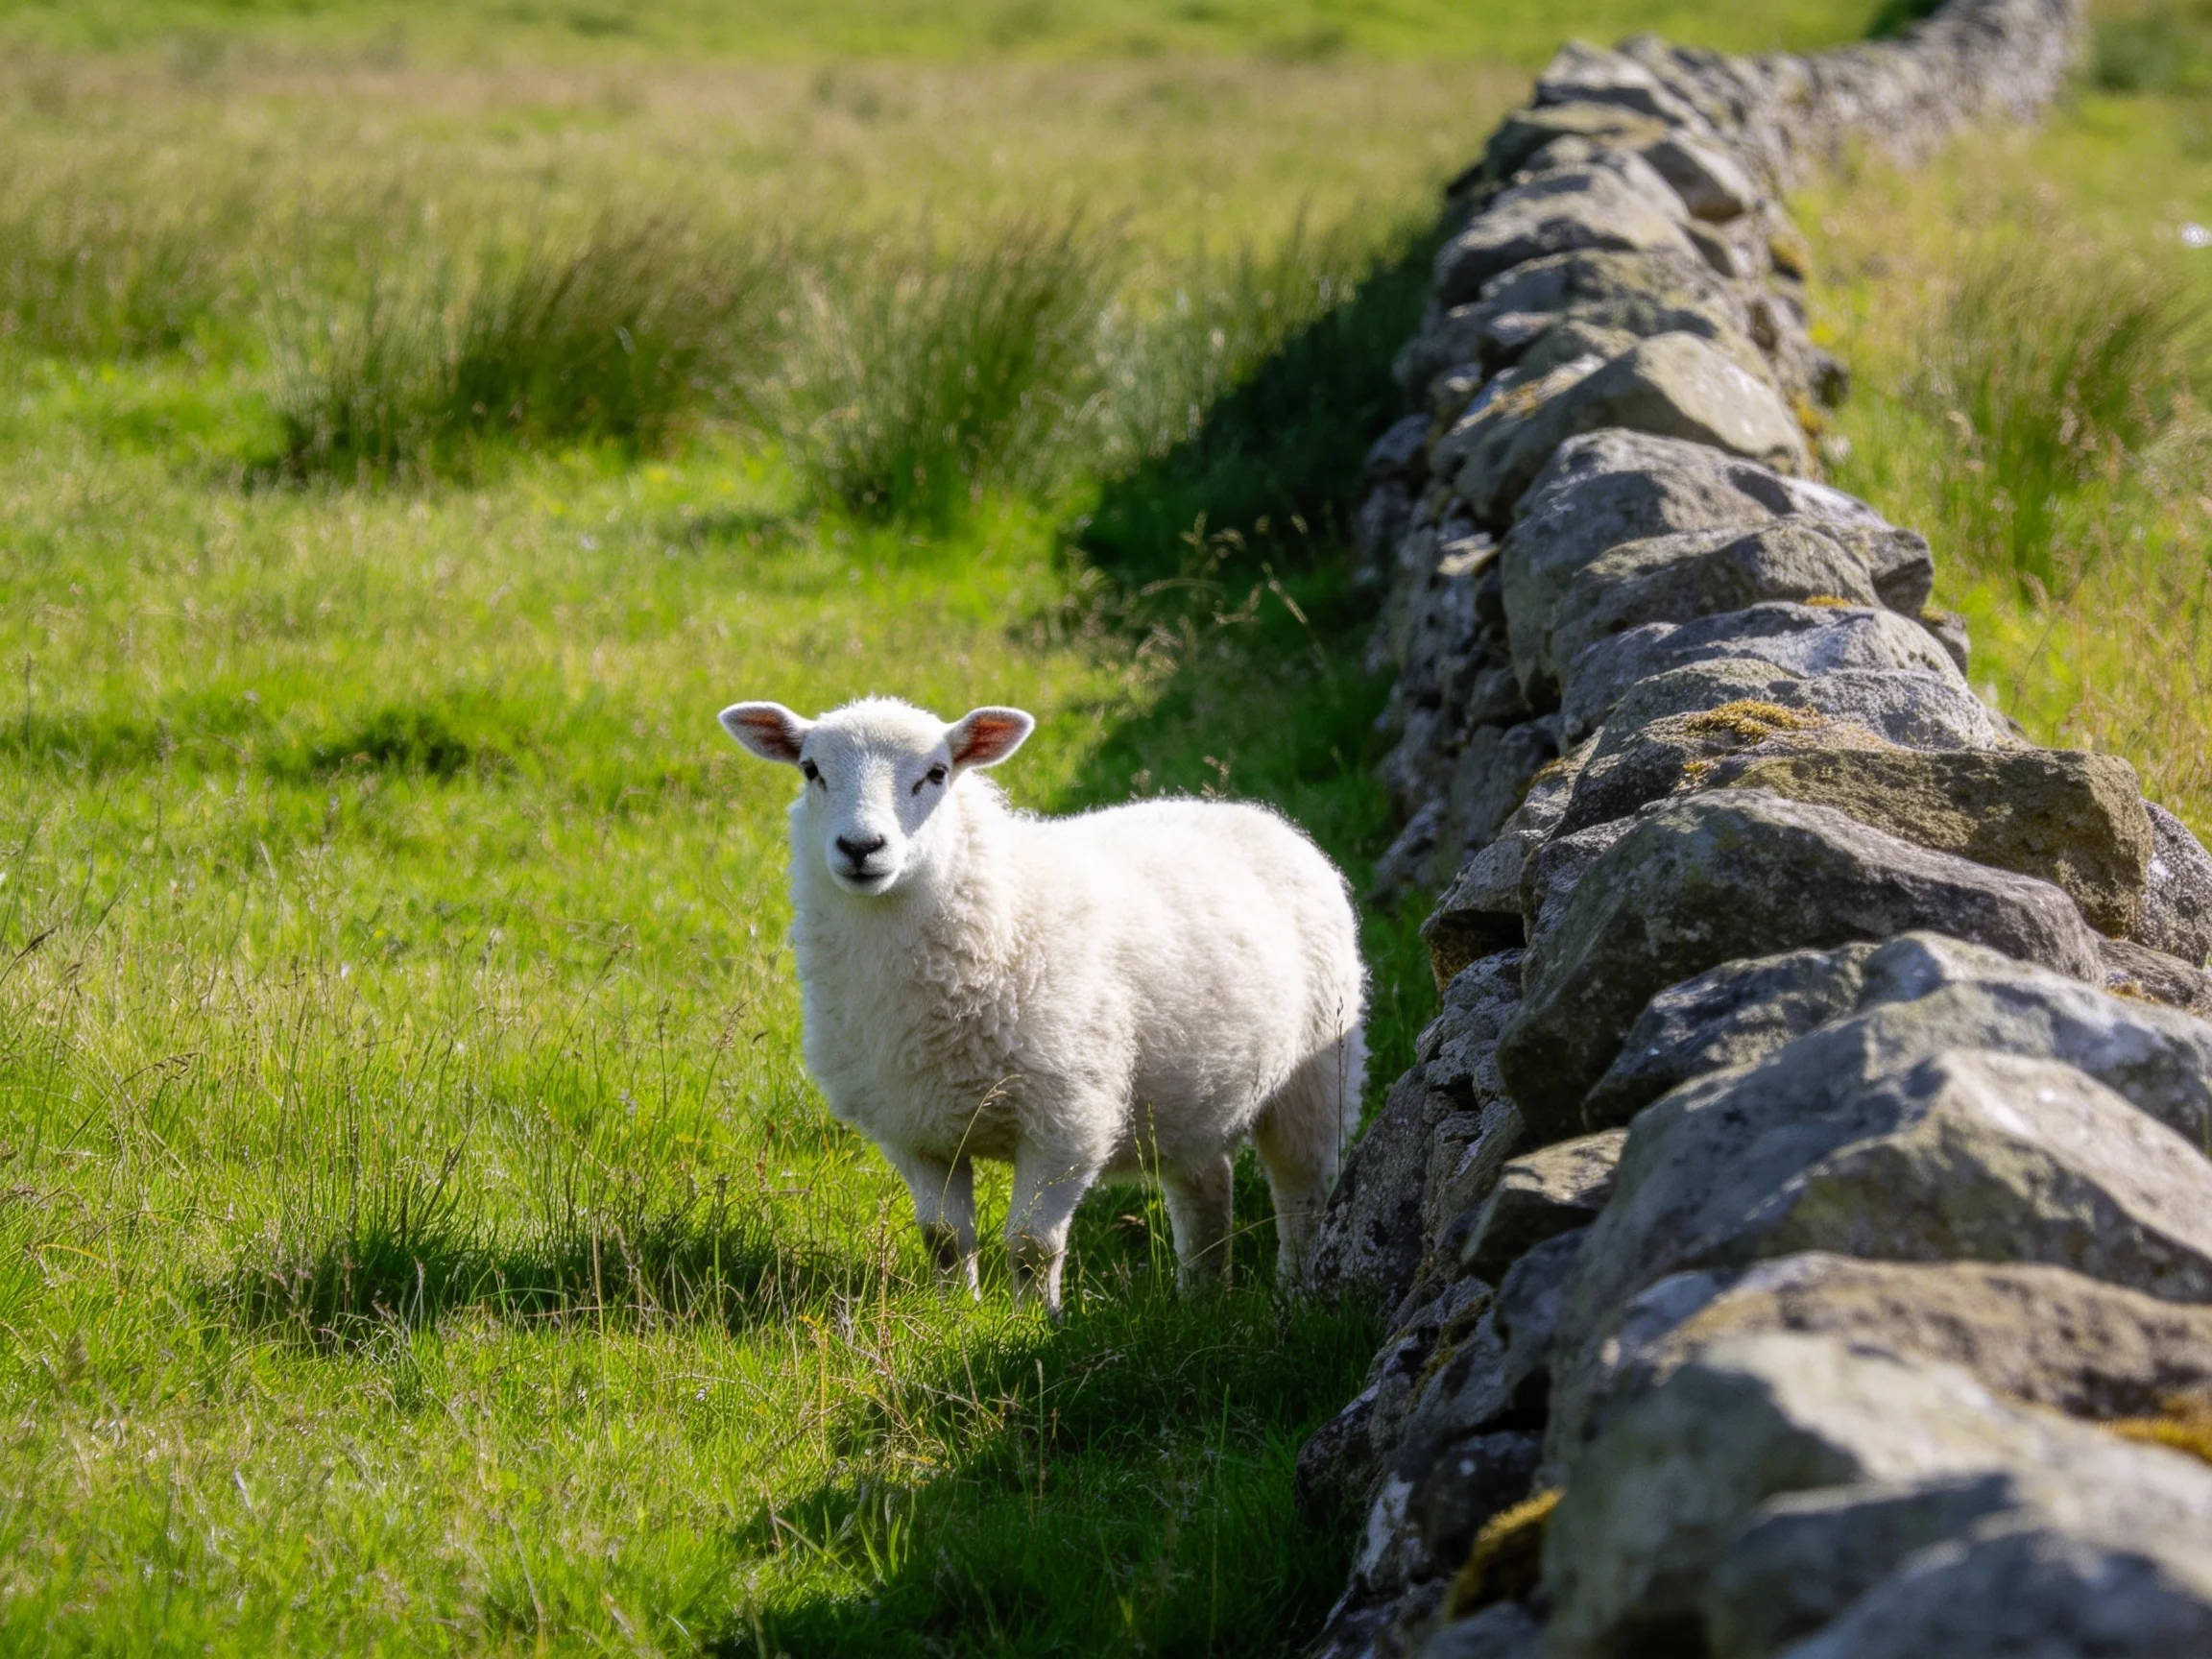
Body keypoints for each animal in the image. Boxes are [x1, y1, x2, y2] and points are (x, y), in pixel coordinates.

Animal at [718, 695, 1367, 1316]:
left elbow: (1032, 1245)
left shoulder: (1067, 1121)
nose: (861, 847)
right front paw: (955, 1315)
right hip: (1190, 1099)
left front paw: (1033, 1324)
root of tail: (1254, 813)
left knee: (1302, 1194)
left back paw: (1294, 1294)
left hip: (1315, 1076)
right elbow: (944, 1239)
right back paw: (1202, 1299)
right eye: (810, 770)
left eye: (936, 773)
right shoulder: (915, 1130)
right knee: (1206, 1188)